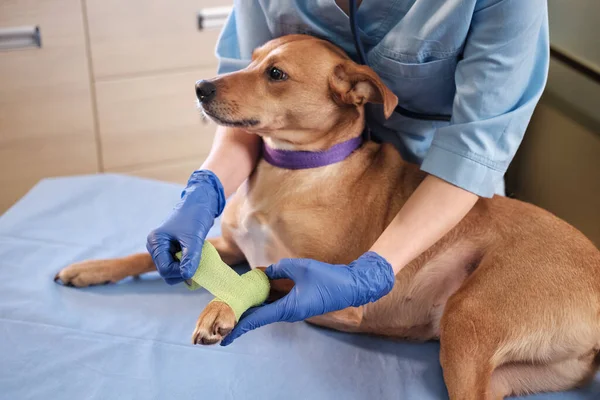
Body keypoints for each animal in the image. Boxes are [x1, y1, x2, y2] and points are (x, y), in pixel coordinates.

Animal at [56, 35, 600, 400]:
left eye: (276, 74)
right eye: (251, 58)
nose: (200, 86)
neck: (294, 171)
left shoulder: (328, 281)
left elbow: (261, 274)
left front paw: (220, 307)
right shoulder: (229, 247)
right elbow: (151, 251)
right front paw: (93, 268)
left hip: (469, 318)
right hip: (509, 374)